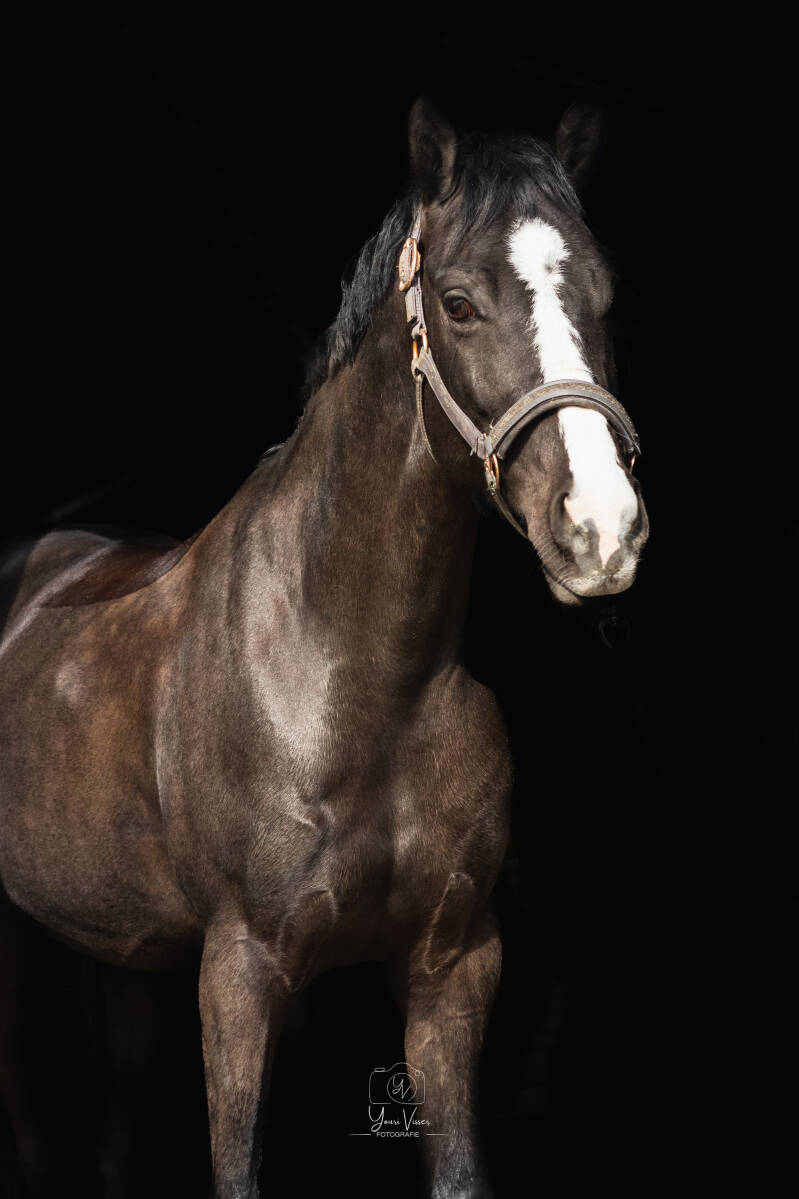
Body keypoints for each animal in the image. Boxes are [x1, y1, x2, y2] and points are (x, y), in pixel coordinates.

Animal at [0, 97, 648, 1198]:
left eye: (600, 295)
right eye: (459, 302)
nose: (601, 531)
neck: (352, 673)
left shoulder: (452, 966)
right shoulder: (242, 970)